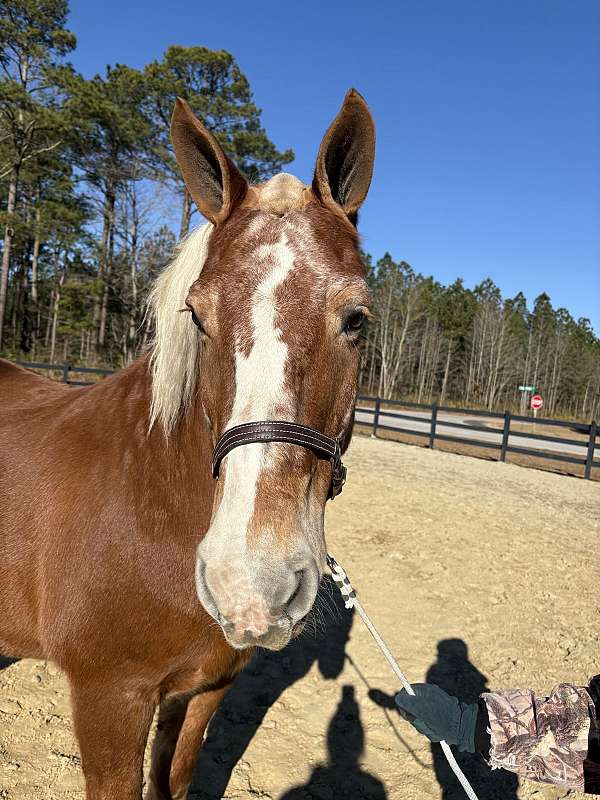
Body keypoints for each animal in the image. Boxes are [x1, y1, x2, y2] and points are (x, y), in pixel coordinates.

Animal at [0, 89, 376, 800]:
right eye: (198, 316)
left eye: (357, 319)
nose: (248, 584)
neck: (151, 509)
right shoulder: (110, 700)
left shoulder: (205, 692)